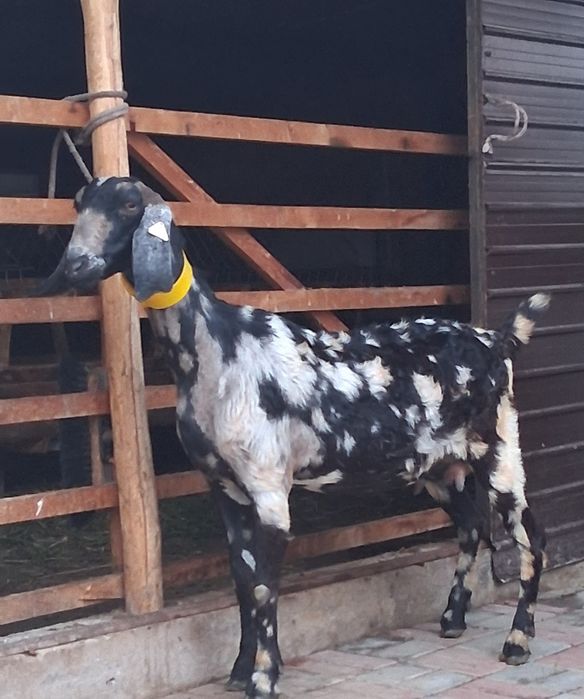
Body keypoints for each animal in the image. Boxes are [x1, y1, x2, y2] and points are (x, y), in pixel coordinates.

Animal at [46, 177, 549, 698]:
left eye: (129, 205)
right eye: (78, 203)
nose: (76, 265)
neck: (217, 349)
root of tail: (498, 340)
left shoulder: (268, 486)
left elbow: (265, 586)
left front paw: (263, 678)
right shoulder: (225, 489)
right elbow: (243, 580)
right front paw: (241, 668)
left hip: (500, 449)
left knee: (531, 534)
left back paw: (517, 641)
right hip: (440, 466)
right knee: (471, 525)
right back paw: (453, 618)